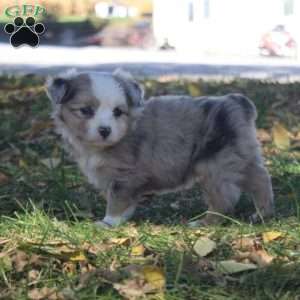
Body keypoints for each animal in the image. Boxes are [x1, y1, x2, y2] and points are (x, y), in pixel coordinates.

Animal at [46, 69, 274, 226]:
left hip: (214, 167)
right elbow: (125, 201)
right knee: (261, 180)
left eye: (118, 112)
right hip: (241, 158)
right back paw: (262, 214)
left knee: (224, 200)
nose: (105, 130)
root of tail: (235, 102)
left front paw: (108, 222)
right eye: (85, 111)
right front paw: (122, 219)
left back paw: (203, 223)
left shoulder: (125, 176)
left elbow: (116, 200)